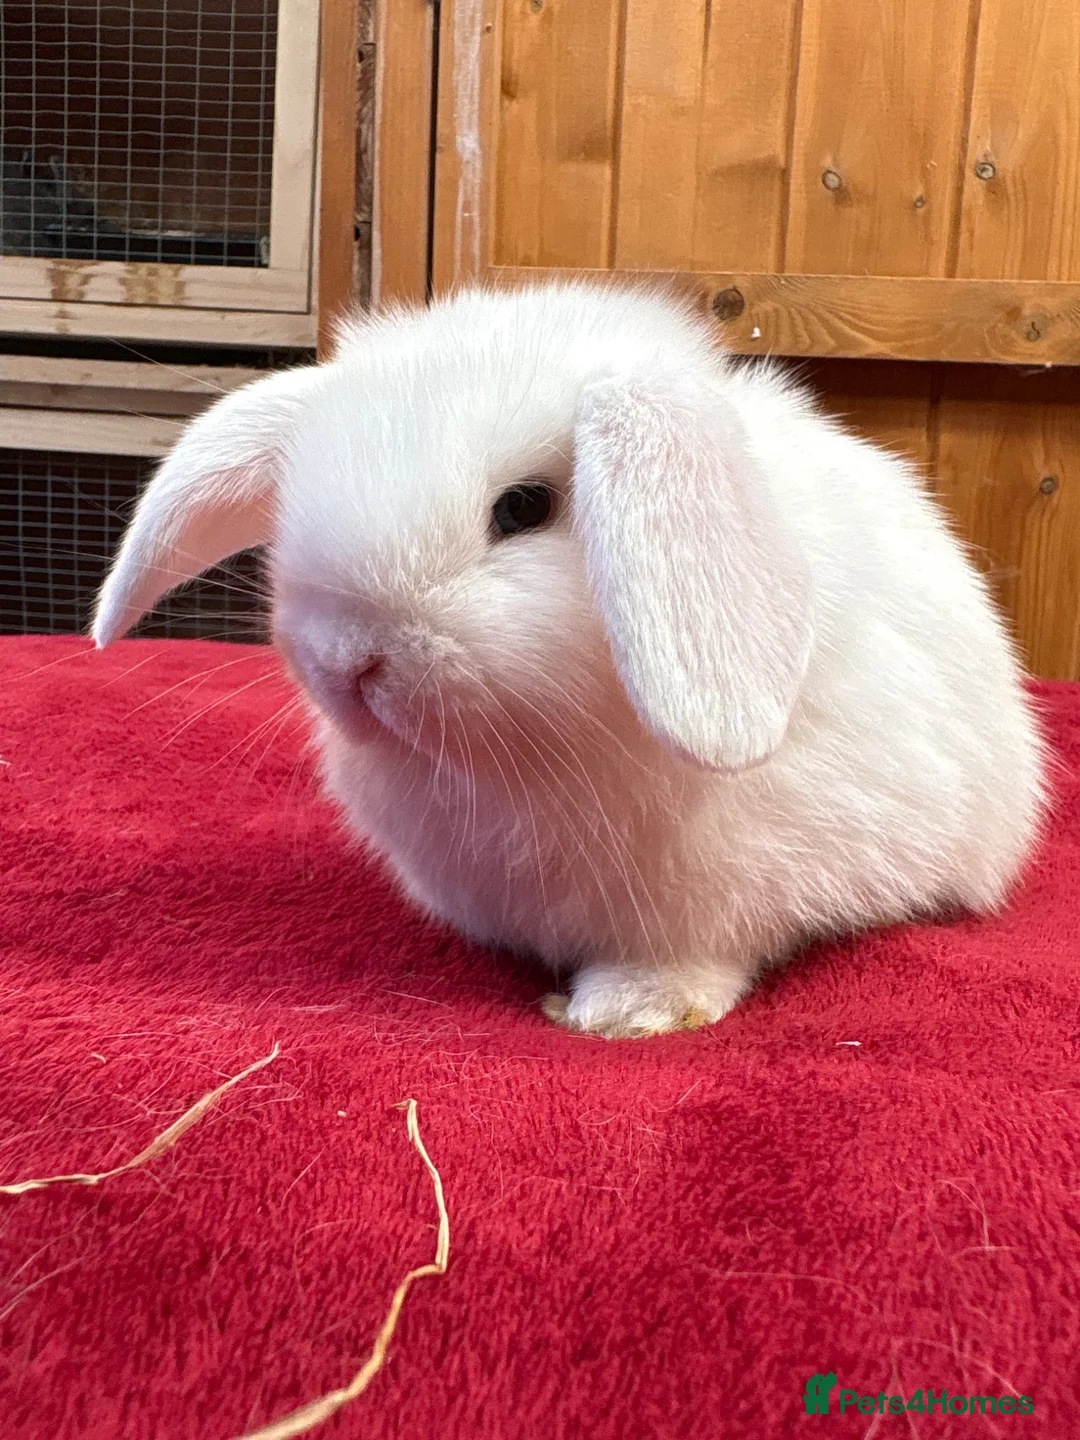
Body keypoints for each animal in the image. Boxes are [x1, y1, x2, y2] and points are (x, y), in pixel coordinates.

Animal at [93, 281, 1046, 1038]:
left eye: (523, 507)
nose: (349, 663)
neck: (525, 757)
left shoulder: (708, 904)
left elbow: (690, 960)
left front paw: (627, 1014)